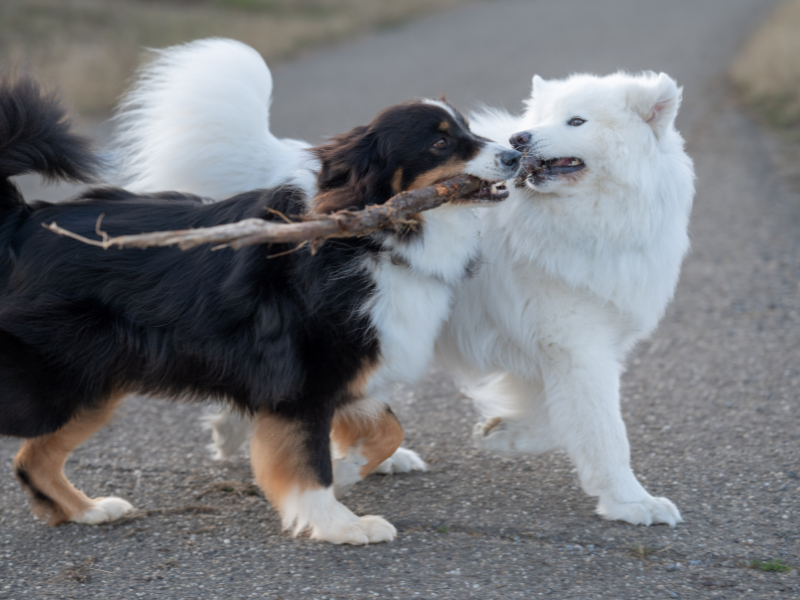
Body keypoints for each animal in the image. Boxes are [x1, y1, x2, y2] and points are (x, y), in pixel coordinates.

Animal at [112, 38, 692, 524]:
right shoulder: (575, 344)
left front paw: (503, 435)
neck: (585, 215)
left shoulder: (564, 344)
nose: (519, 140)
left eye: (576, 121)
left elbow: (554, 417)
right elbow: (605, 432)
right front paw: (633, 502)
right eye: (541, 119)